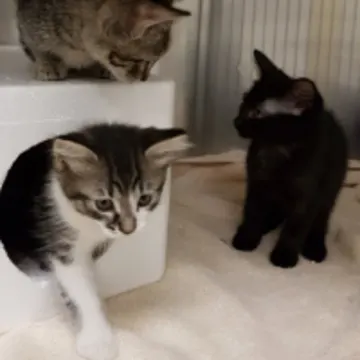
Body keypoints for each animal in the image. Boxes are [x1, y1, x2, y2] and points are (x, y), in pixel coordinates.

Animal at [0, 123, 193, 360]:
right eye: (103, 203)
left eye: (144, 199)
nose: (128, 229)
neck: (89, 224)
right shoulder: (61, 244)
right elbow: (81, 289)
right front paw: (97, 340)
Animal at [232, 49, 348, 268]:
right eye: (243, 101)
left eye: (257, 112)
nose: (236, 121)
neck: (276, 149)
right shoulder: (257, 182)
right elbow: (252, 211)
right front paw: (247, 238)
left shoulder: (309, 196)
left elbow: (296, 226)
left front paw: (285, 255)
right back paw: (268, 223)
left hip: (330, 190)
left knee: (321, 221)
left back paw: (314, 247)